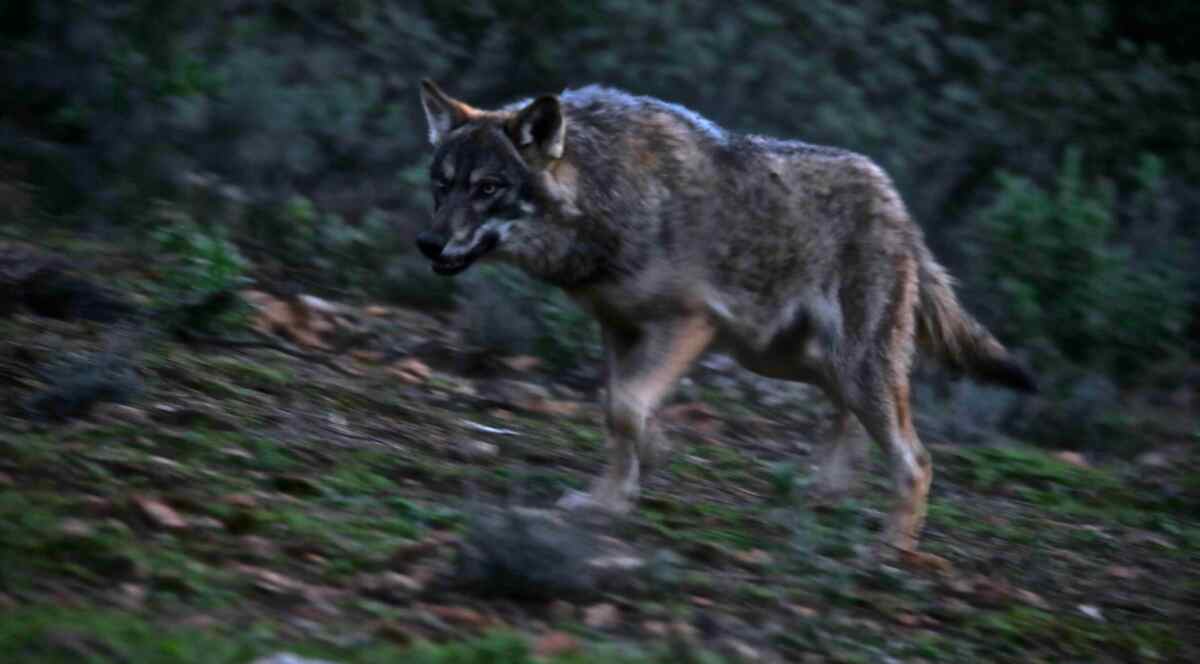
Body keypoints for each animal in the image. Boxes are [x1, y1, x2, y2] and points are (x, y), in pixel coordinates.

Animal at [412, 80, 1032, 552]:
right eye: (441, 186)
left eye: (488, 188)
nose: (427, 242)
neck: (610, 195)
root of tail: (899, 207)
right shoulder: (618, 329)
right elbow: (619, 411)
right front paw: (612, 495)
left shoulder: (688, 324)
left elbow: (627, 408)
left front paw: (622, 486)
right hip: (794, 360)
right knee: (847, 422)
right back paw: (819, 497)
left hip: (850, 366)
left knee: (915, 460)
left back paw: (890, 550)